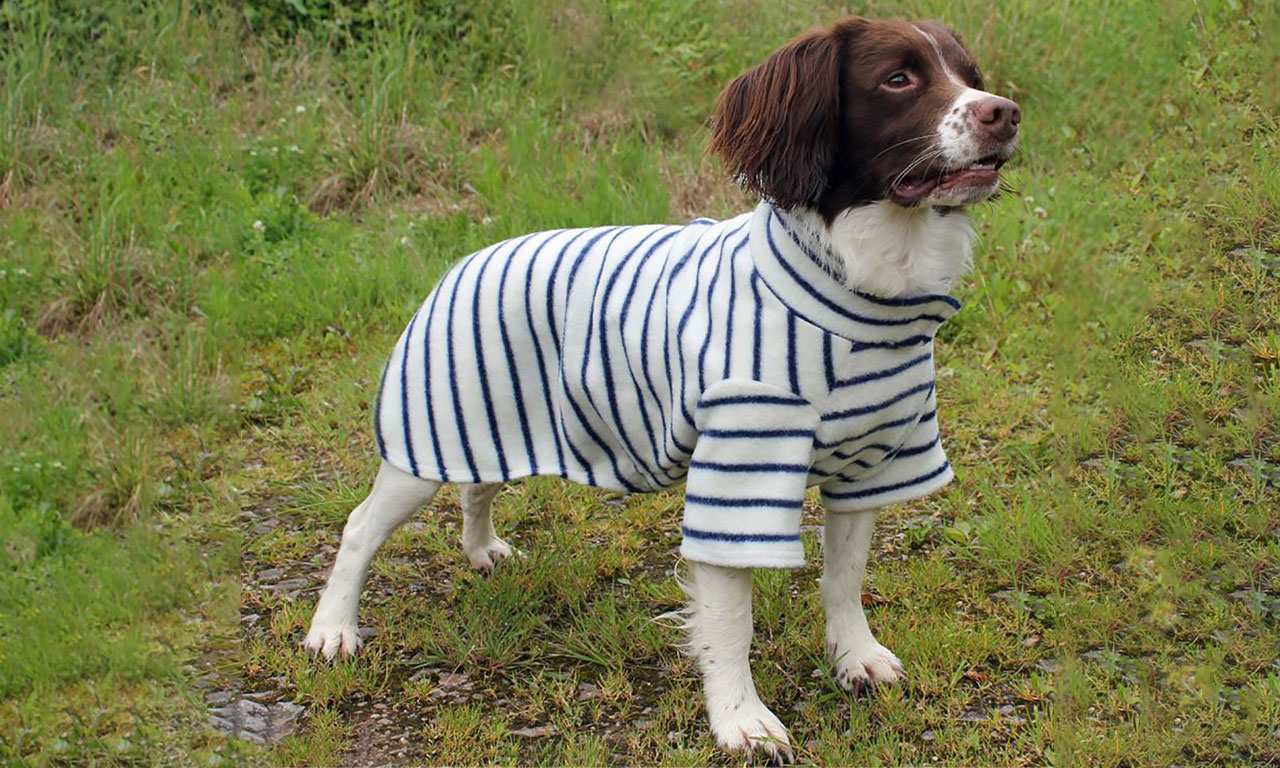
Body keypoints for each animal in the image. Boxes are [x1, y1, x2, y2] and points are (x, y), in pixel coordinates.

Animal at [302, 15, 1018, 757]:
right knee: (360, 527)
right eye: (898, 79)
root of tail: (466, 260)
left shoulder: (875, 462)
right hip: (433, 435)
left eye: (971, 75)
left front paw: (855, 658)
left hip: (497, 424)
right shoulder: (738, 476)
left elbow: (843, 579)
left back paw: (481, 551)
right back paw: (332, 630)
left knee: (477, 486)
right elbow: (731, 622)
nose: (1005, 113)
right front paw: (740, 719)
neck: (863, 288)